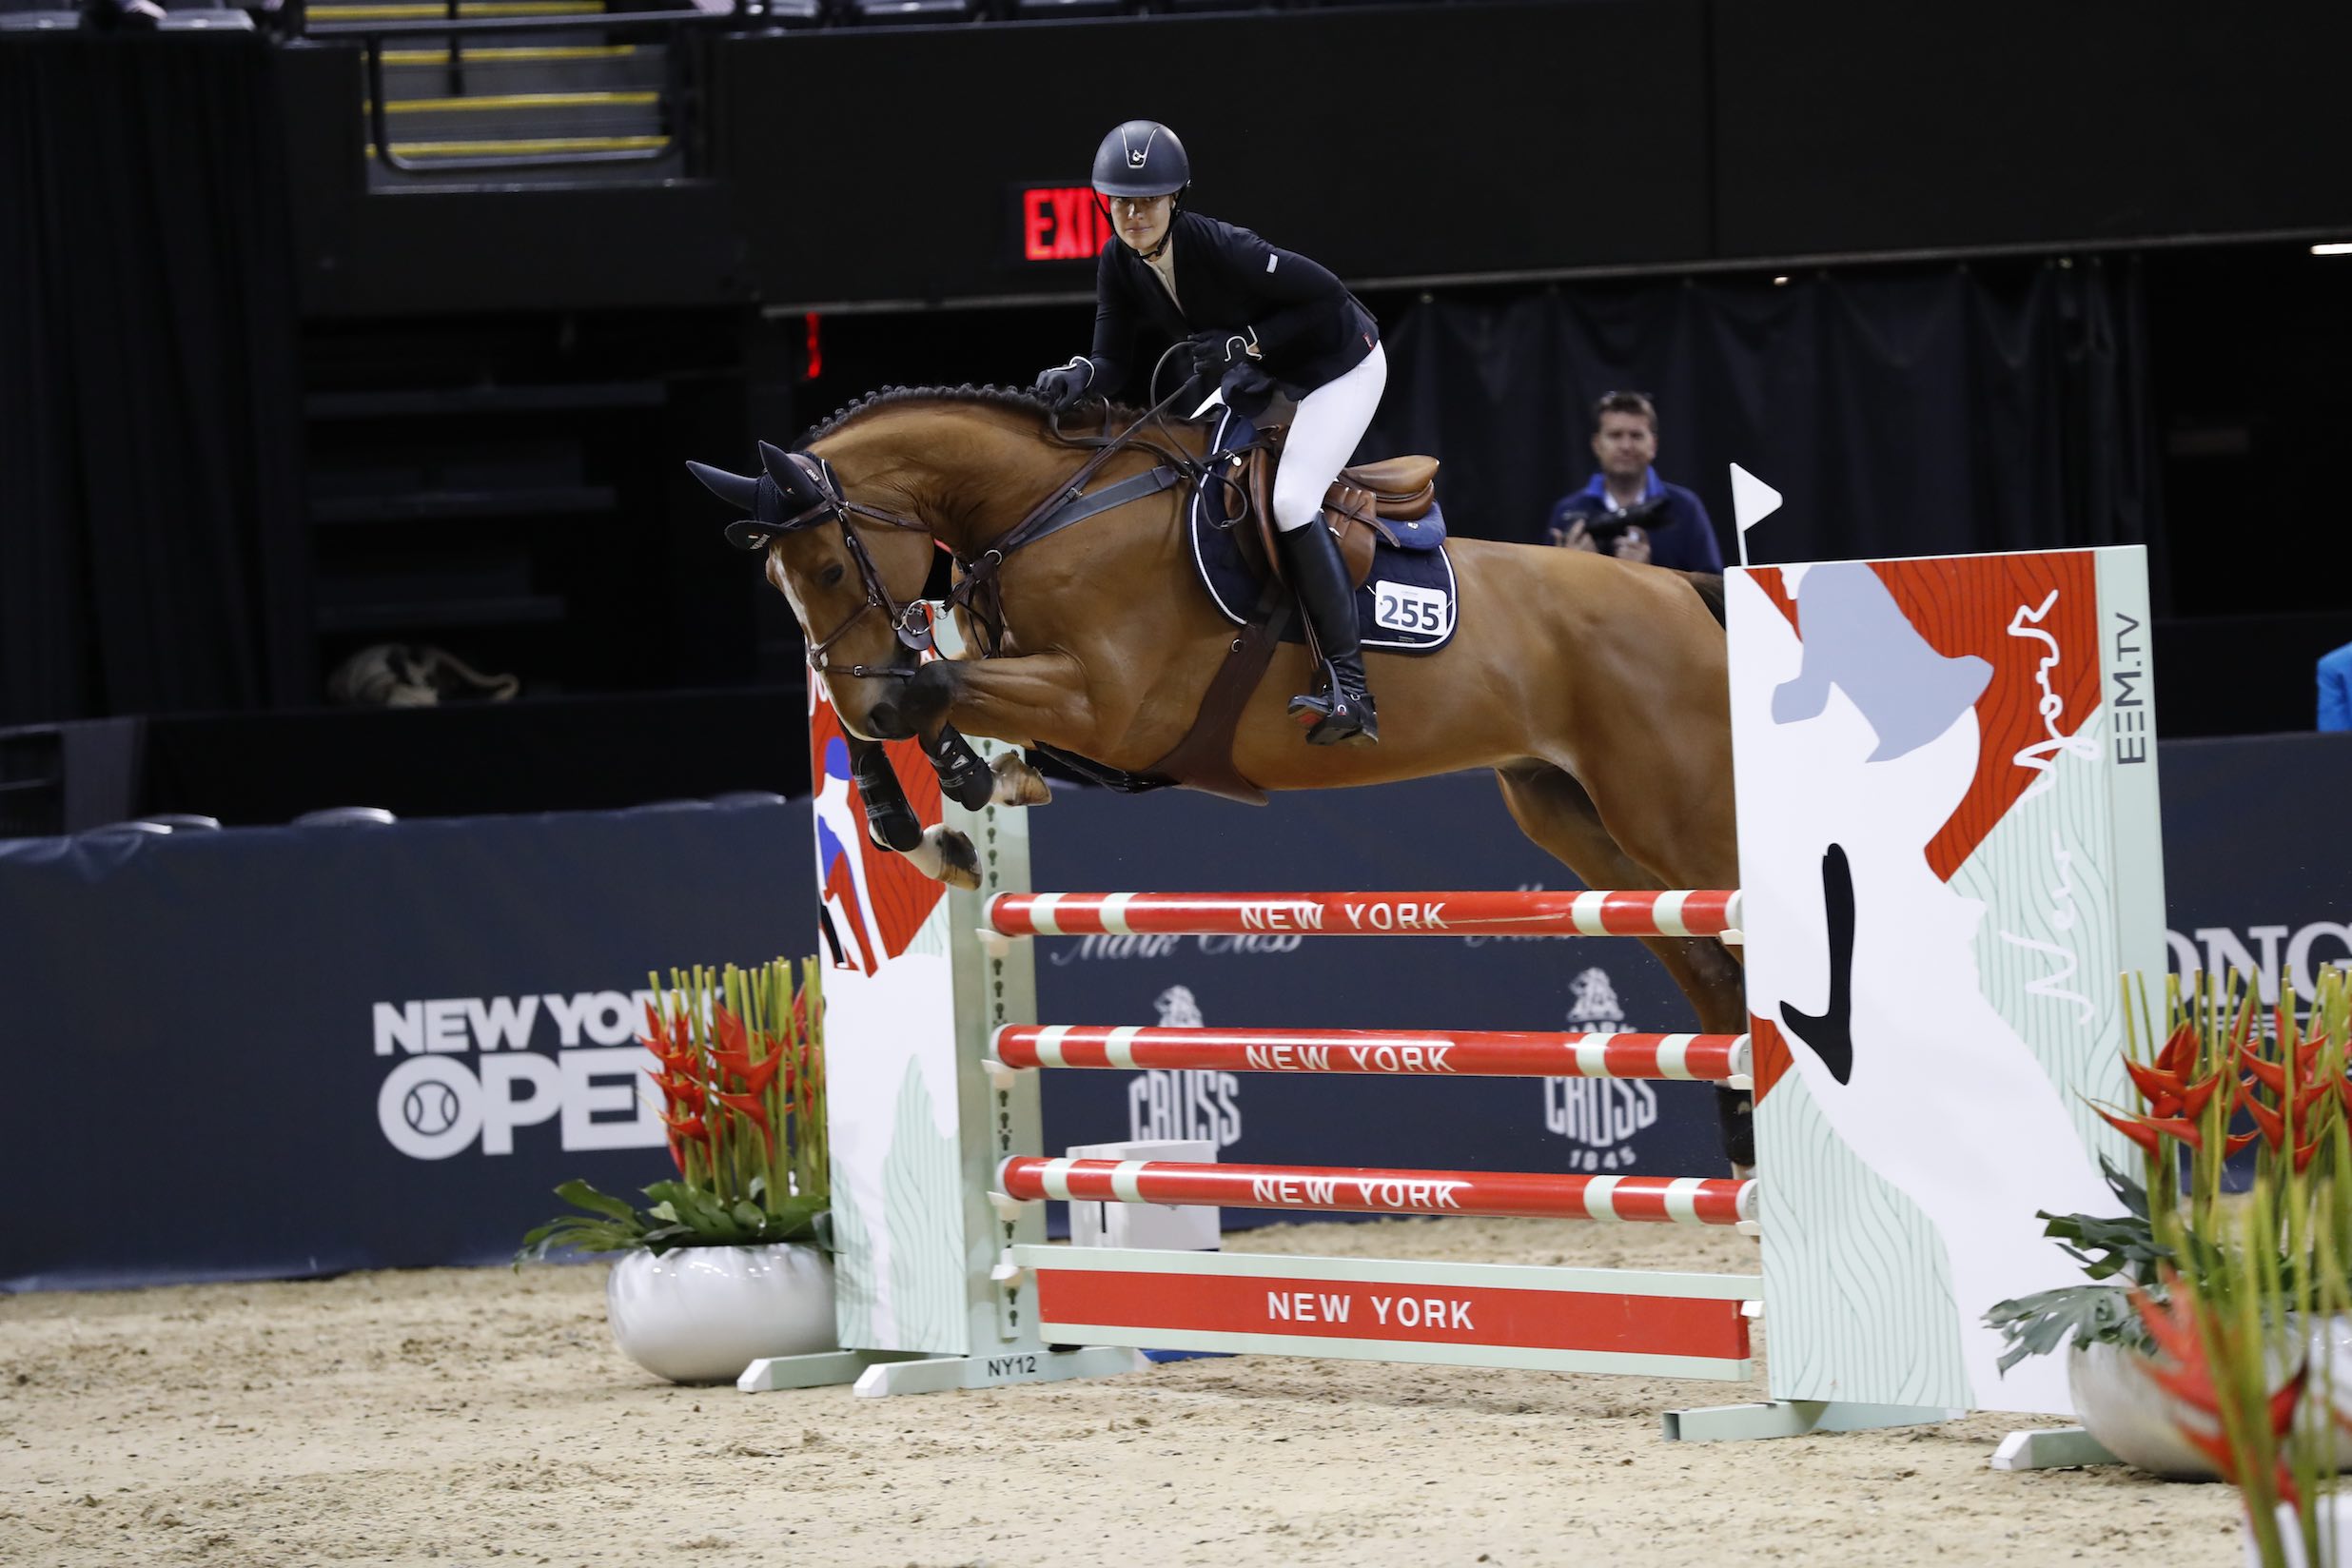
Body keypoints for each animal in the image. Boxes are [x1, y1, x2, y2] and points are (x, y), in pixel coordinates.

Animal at [686, 382, 1759, 1166]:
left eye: (829, 569)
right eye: (779, 581)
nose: (858, 697)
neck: (1052, 515)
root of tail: (1680, 589)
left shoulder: (1106, 706)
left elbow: (930, 684)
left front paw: (962, 789)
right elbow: (913, 697)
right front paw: (930, 817)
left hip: (1676, 814)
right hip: (1579, 821)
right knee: (1710, 968)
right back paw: (1746, 1139)